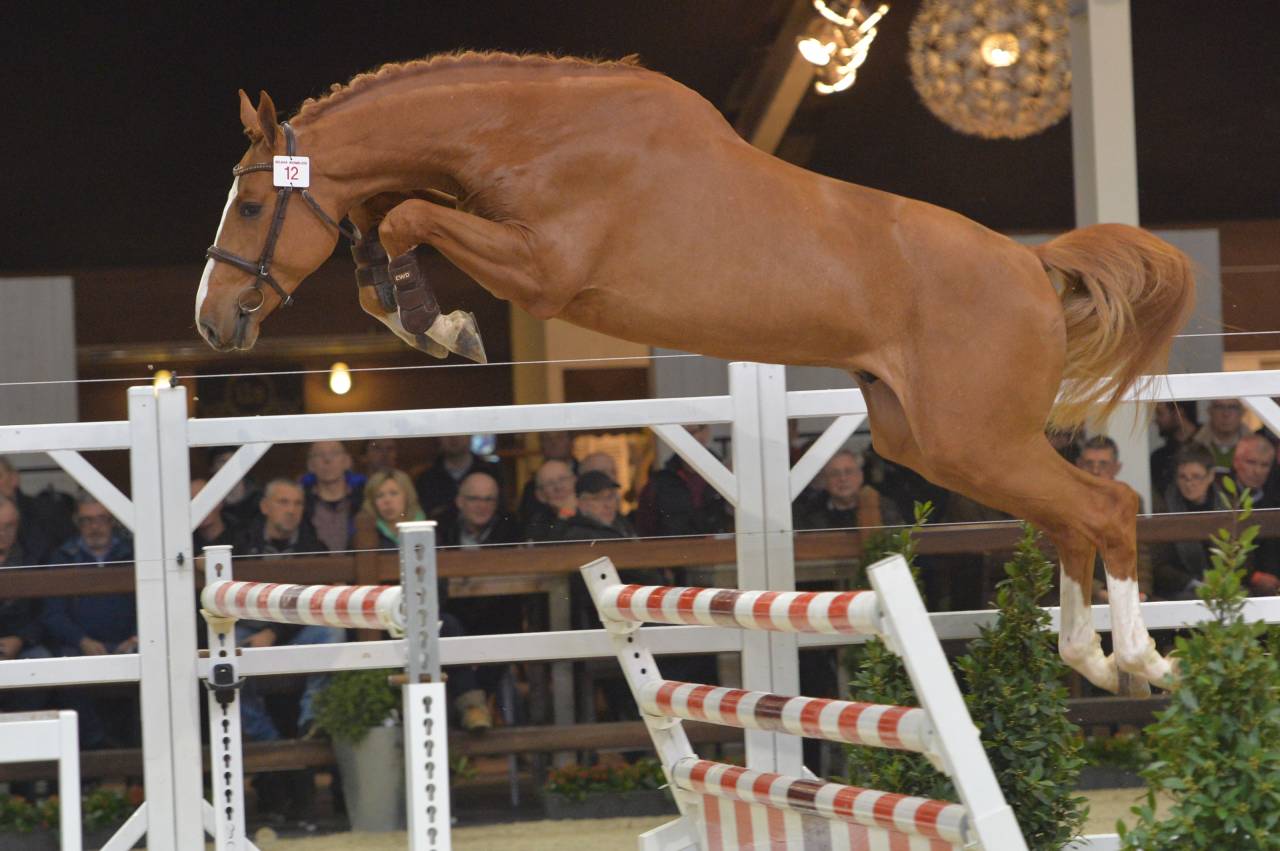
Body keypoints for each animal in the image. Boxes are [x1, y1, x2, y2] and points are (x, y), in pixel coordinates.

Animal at [197, 52, 1195, 696]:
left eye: (250, 204)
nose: (212, 321)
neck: (532, 131)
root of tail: (1032, 264)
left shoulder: (542, 268)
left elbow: (404, 216)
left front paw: (443, 325)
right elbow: (389, 225)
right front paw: (424, 316)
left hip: (974, 439)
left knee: (1106, 508)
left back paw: (1141, 659)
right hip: (939, 444)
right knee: (1069, 520)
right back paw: (1091, 657)